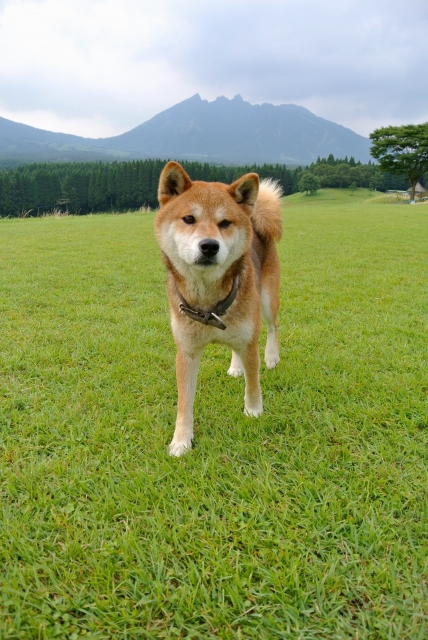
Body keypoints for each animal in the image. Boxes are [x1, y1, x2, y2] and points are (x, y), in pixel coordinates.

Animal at [155, 162, 282, 458]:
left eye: (225, 223)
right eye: (189, 219)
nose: (209, 245)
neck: (207, 303)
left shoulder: (249, 341)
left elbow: (253, 383)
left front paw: (254, 412)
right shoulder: (186, 352)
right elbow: (184, 404)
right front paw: (181, 440)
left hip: (266, 301)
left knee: (273, 326)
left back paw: (272, 357)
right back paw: (236, 367)